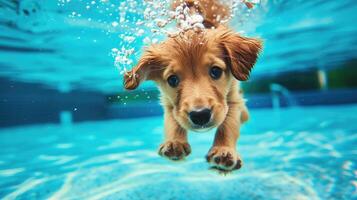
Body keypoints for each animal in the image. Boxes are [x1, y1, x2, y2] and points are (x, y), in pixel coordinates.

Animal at [123, 0, 262, 172]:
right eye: (172, 80)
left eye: (216, 71)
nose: (200, 115)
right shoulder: (169, 103)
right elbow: (172, 120)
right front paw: (174, 142)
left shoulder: (234, 98)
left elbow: (229, 124)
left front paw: (224, 151)